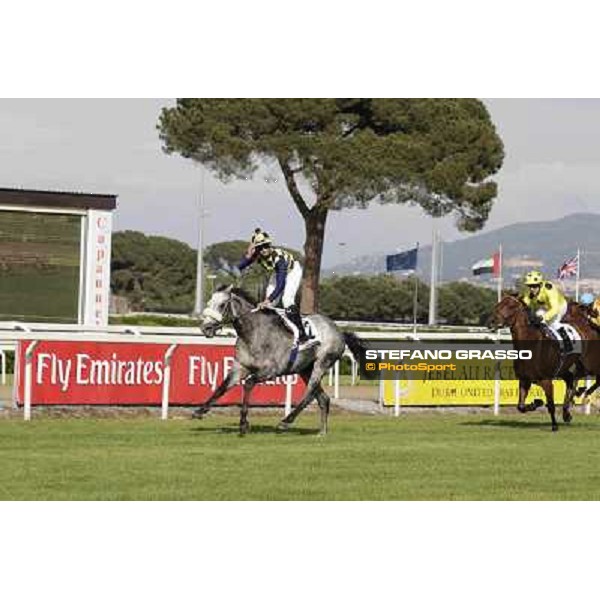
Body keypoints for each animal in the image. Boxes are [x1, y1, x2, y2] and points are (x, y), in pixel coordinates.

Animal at [195, 286, 368, 436]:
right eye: (209, 302)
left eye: (222, 305)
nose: (206, 328)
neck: (254, 333)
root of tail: (338, 330)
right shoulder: (240, 367)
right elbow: (222, 387)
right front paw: (200, 411)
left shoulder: (271, 371)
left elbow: (248, 384)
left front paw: (243, 424)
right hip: (305, 369)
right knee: (322, 398)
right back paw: (322, 432)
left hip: (322, 363)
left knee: (309, 393)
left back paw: (286, 421)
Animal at [488, 296, 584, 432]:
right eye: (498, 305)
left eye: (511, 306)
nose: (491, 321)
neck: (530, 347)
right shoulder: (524, 380)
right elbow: (520, 406)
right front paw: (536, 403)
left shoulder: (546, 380)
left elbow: (551, 404)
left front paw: (554, 426)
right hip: (563, 369)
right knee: (570, 380)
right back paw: (566, 413)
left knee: (575, 381)